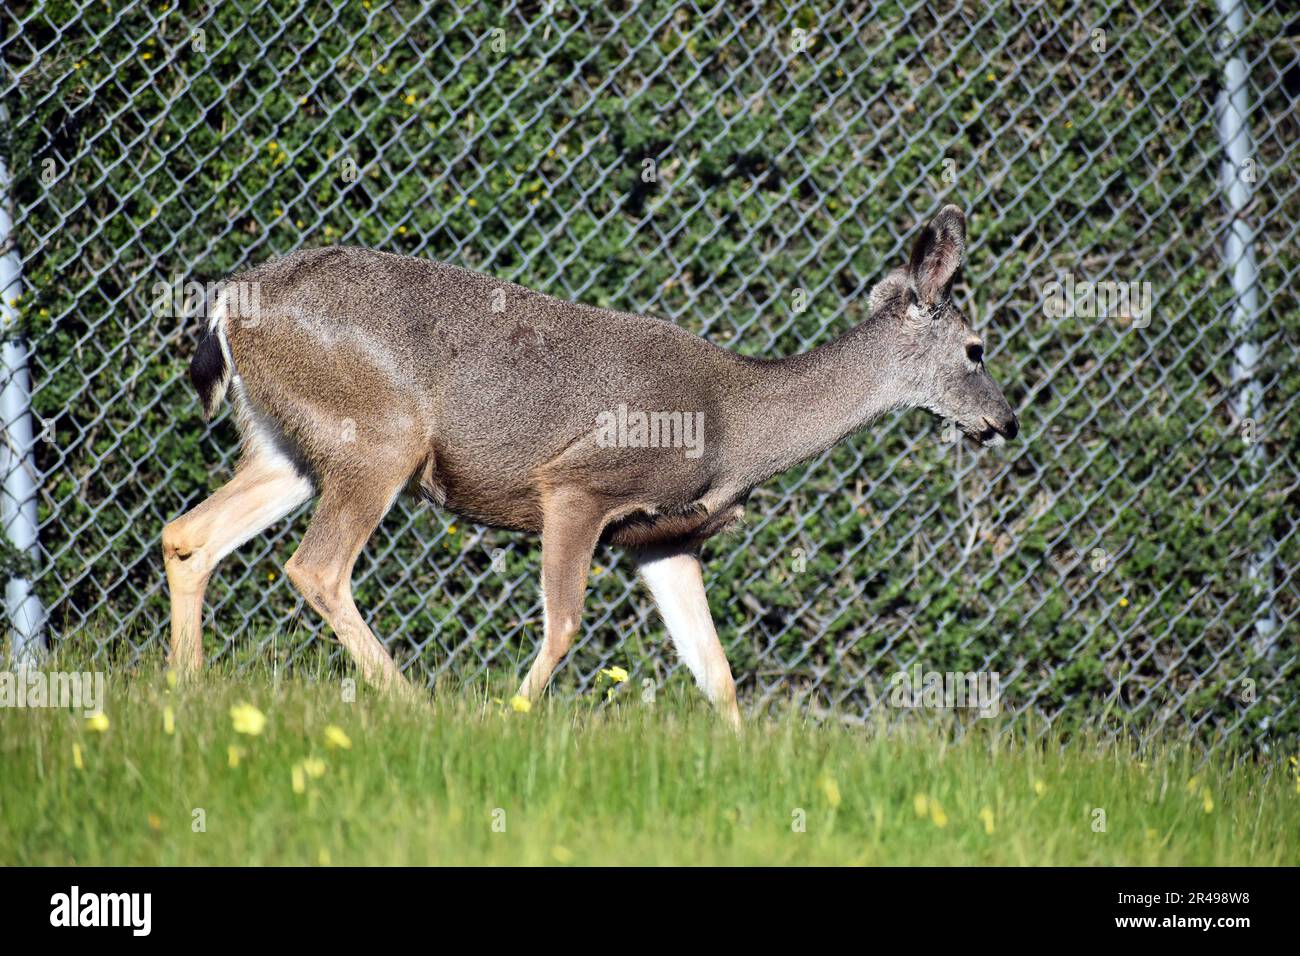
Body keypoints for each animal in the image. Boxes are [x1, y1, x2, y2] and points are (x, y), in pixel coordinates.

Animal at [162, 204, 1013, 723]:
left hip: (288, 445)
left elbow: (716, 670)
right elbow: (566, 622)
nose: (1005, 419)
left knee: (189, 534)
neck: (739, 426)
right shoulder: (580, 484)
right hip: (381, 435)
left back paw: (187, 687)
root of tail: (233, 298)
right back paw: (410, 702)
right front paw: (511, 717)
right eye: (976, 349)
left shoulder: (663, 538)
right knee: (315, 567)